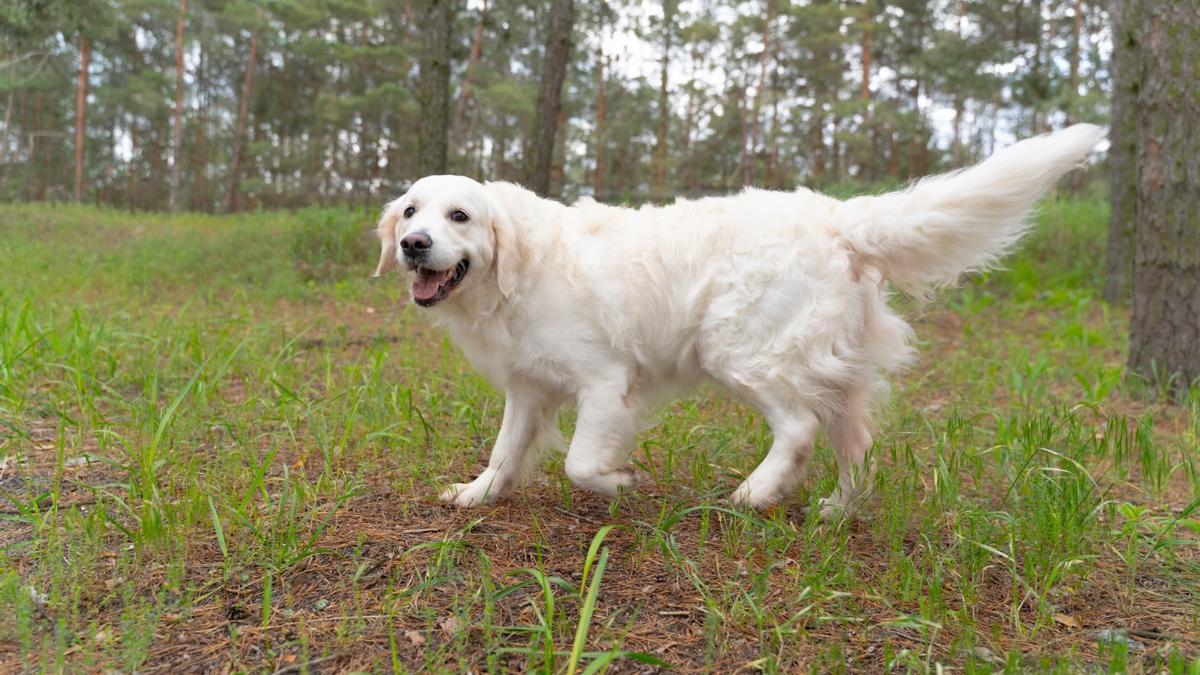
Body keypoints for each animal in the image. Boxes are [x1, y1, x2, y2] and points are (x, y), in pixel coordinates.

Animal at [374, 124, 1104, 514]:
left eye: (460, 216)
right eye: (411, 210)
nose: (413, 245)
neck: (519, 268)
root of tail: (838, 218)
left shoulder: (606, 383)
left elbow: (580, 461)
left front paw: (617, 481)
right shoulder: (527, 390)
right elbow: (504, 453)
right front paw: (475, 495)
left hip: (740, 352)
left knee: (800, 427)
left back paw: (756, 492)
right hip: (830, 370)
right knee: (856, 440)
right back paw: (838, 509)